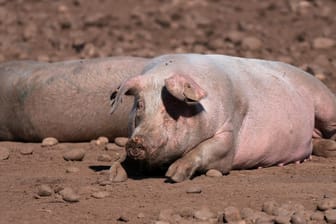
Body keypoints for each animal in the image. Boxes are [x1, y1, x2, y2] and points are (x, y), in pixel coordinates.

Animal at [110, 53, 336, 182]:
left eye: (171, 108)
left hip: (325, 103)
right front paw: (114, 175)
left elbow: (209, 148)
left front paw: (174, 175)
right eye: (140, 105)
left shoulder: (230, 130)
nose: (137, 141)